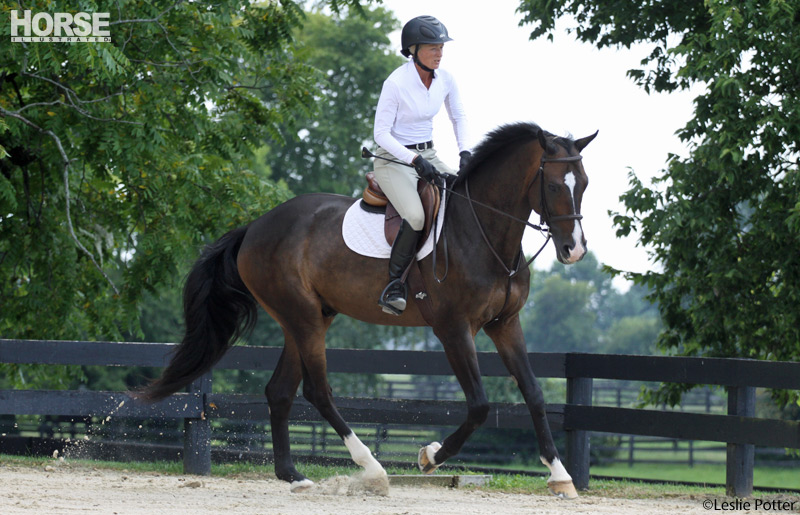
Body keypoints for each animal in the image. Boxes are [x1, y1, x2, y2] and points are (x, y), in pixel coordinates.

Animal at [137, 122, 597, 497]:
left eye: (584, 184)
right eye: (554, 186)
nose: (574, 250)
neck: (482, 231)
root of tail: (256, 226)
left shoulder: (505, 325)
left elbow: (534, 393)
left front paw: (560, 477)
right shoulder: (453, 329)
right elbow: (480, 405)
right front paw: (430, 456)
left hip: (307, 319)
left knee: (280, 391)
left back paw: (293, 476)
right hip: (304, 318)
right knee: (317, 392)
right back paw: (372, 469)